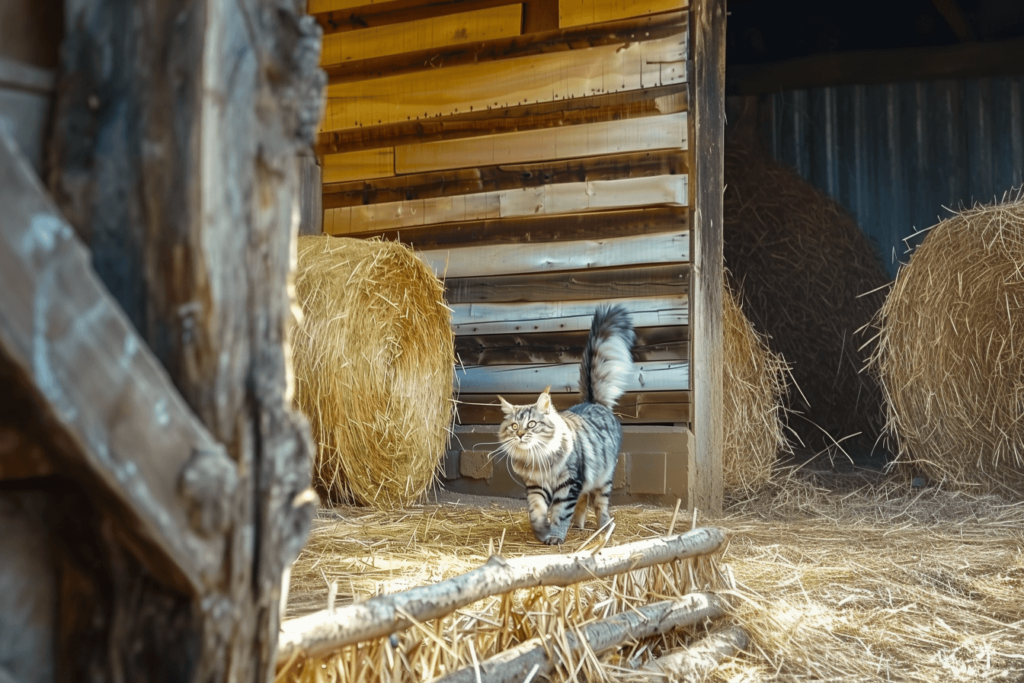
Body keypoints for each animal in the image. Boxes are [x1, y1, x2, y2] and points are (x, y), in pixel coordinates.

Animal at [499, 305, 634, 544]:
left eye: (531, 424)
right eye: (514, 426)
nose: (521, 434)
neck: (539, 457)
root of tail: (592, 401)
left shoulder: (568, 483)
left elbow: (561, 512)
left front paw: (555, 535)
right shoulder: (536, 485)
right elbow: (536, 510)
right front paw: (542, 530)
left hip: (603, 477)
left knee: (599, 504)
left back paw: (603, 526)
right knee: (583, 501)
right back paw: (578, 526)